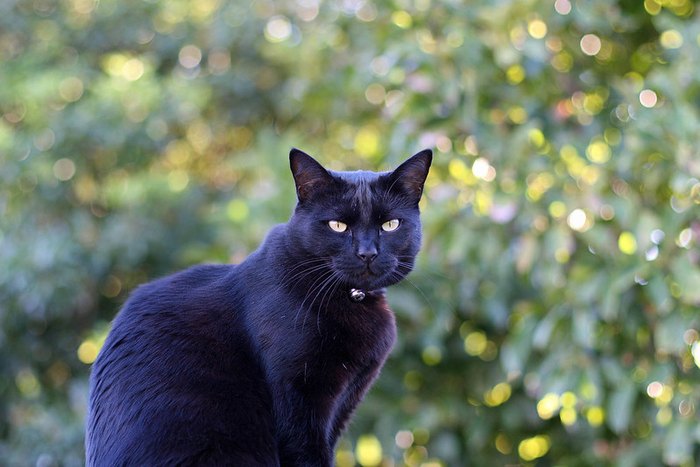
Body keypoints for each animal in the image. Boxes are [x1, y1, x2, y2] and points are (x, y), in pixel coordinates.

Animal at [85, 148, 430, 466]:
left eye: (390, 224)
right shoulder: (298, 402)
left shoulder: (342, 407)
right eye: (337, 226)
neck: (353, 298)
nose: (367, 253)